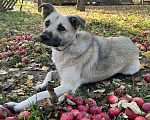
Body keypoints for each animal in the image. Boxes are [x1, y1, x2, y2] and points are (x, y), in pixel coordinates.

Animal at [5, 3, 139, 111]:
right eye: (47, 23)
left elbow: (40, 94)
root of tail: (132, 43)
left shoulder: (68, 86)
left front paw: (18, 105)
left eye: (61, 28)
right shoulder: (61, 71)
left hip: (130, 70)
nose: (43, 37)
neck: (67, 47)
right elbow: (50, 73)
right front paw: (42, 84)